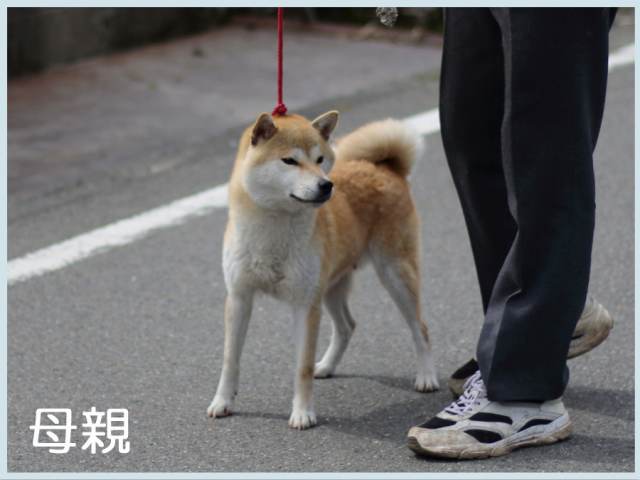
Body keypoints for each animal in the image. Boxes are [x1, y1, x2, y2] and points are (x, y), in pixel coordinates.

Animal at [208, 110, 438, 430]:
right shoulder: (239, 297)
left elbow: (302, 367)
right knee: (347, 326)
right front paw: (223, 402)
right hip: (330, 287)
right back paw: (327, 366)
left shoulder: (305, 305)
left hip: (395, 275)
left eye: (319, 160)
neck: (274, 230)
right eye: (289, 161)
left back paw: (427, 376)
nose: (326, 185)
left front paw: (303, 413)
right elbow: (230, 359)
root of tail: (385, 168)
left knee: (420, 328)